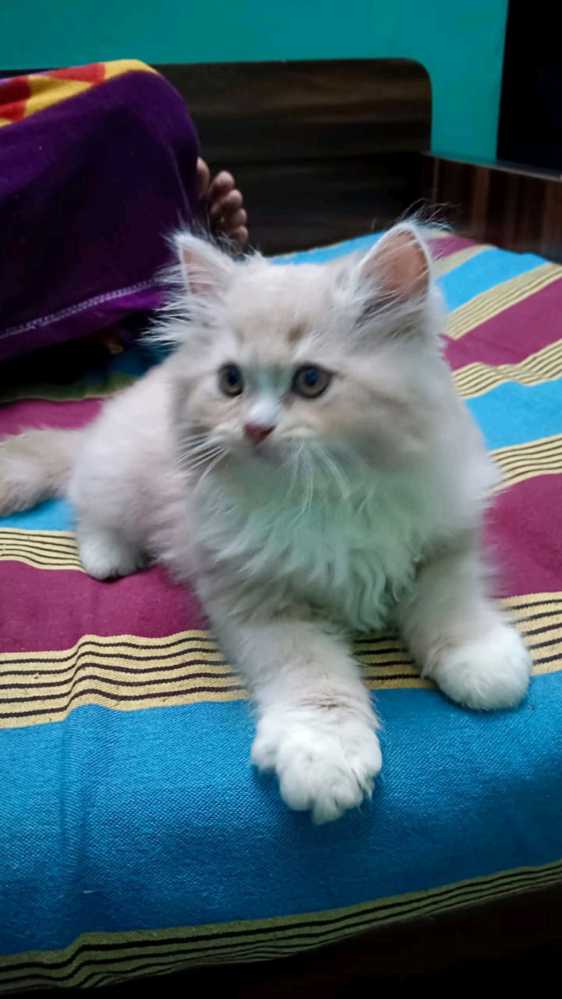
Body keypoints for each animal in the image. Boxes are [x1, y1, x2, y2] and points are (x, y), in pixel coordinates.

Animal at [0, 223, 531, 823]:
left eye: (311, 380)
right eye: (232, 382)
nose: (254, 428)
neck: (325, 496)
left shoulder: (444, 540)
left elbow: (452, 604)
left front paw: (481, 662)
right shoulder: (260, 600)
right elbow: (314, 679)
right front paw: (323, 758)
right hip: (116, 482)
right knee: (86, 510)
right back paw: (110, 557)